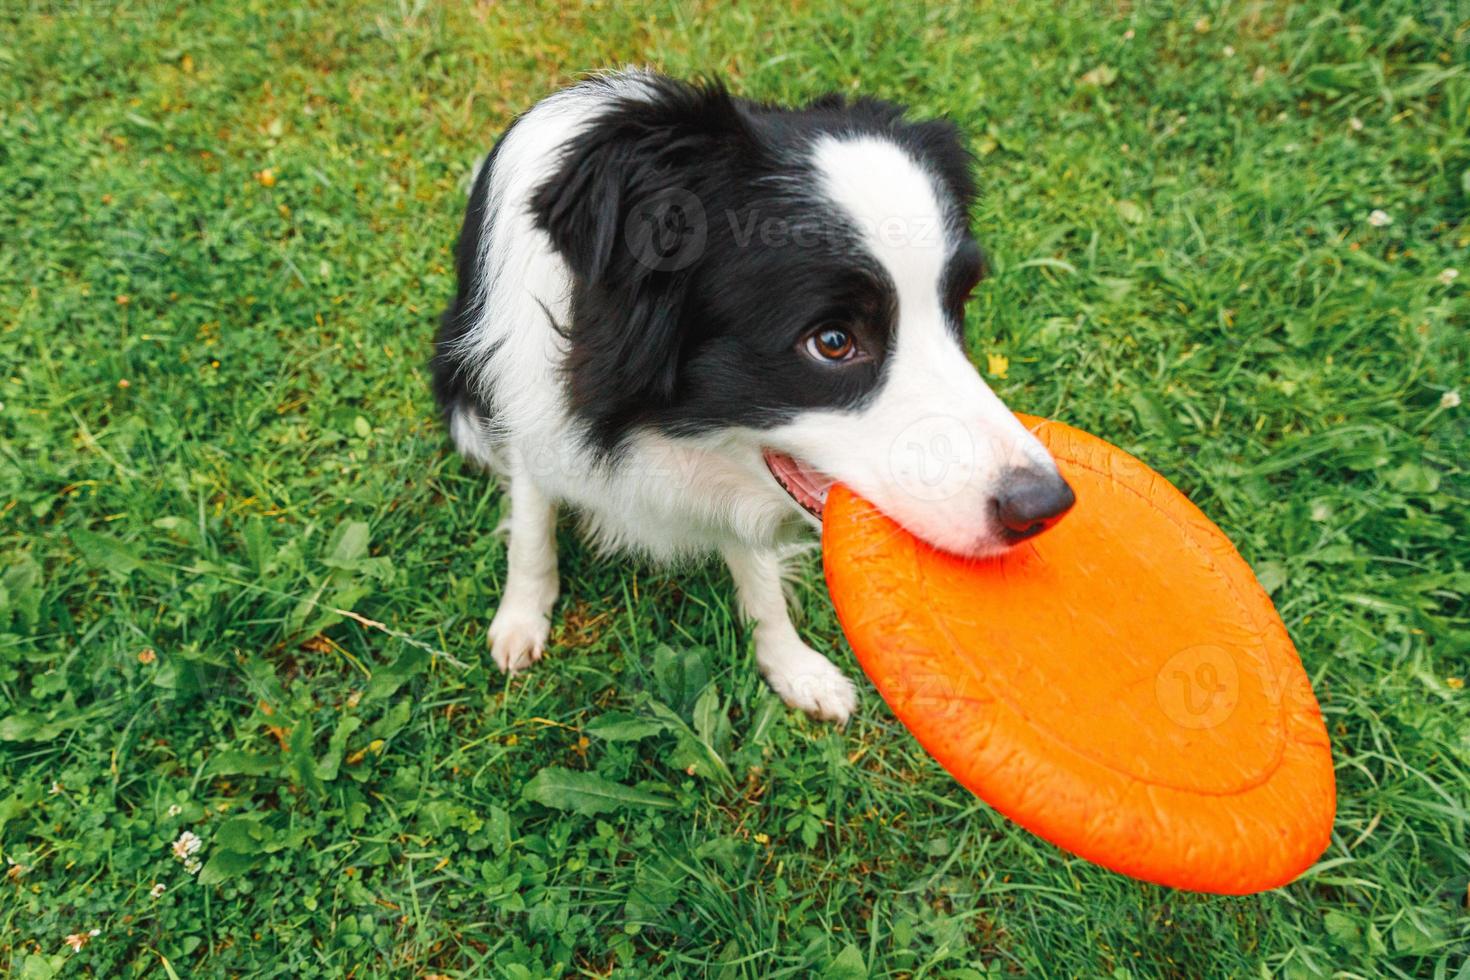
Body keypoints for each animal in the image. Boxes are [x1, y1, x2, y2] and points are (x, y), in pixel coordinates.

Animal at [429, 69, 1076, 725]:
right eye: (833, 342)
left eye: (958, 306)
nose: (1045, 507)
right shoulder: (528, 418)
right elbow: (532, 526)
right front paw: (521, 619)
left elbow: (760, 577)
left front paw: (794, 666)